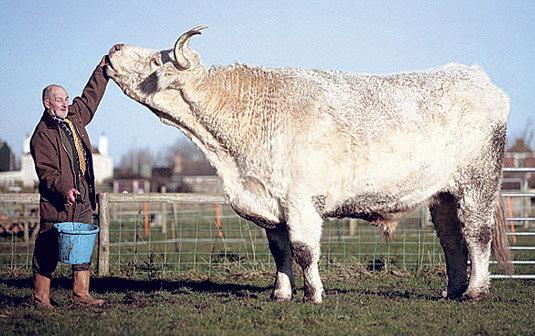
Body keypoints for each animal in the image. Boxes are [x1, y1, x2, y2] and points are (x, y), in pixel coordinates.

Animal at [107, 25, 512, 302]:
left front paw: (314, 293)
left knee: (476, 235)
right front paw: (281, 294)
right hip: (443, 195)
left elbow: (303, 249)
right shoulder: (272, 205)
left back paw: (474, 292)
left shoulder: (301, 202)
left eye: (154, 59)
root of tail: (476, 75)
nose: (113, 46)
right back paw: (453, 291)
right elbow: (280, 250)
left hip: (478, 184)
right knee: (451, 240)